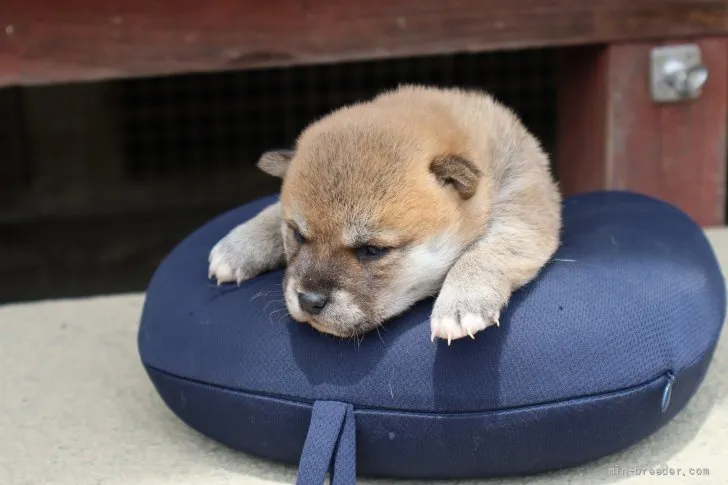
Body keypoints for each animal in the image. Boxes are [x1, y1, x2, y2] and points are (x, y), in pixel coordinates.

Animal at [208, 85, 560, 342]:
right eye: (297, 234)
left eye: (372, 250)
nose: (309, 300)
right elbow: (271, 210)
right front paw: (241, 246)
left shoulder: (523, 211)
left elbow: (488, 252)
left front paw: (462, 302)